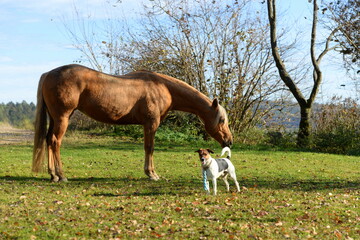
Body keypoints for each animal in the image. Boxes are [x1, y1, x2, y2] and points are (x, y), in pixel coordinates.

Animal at [31, 64, 233, 181]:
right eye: (222, 119)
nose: (229, 141)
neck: (163, 86)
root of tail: (48, 73)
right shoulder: (151, 124)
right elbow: (149, 148)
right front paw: (152, 174)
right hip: (63, 117)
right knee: (55, 141)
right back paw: (61, 175)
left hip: (56, 118)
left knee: (48, 140)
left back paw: (52, 175)